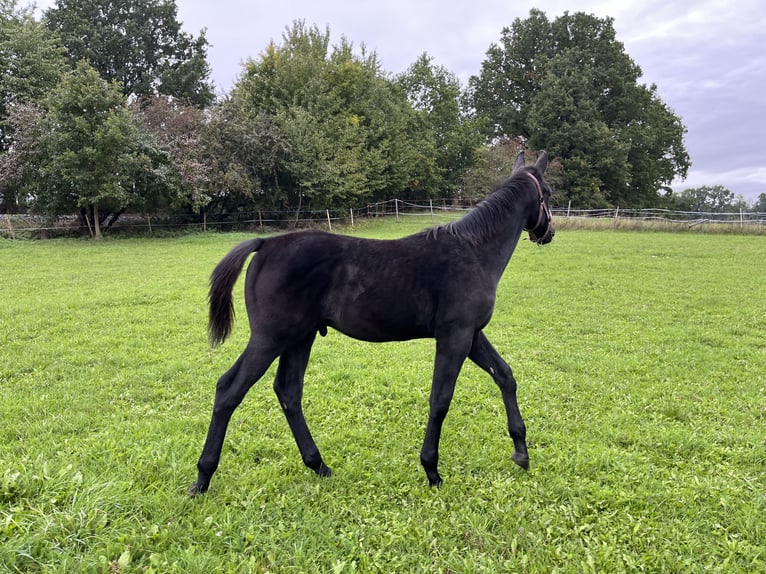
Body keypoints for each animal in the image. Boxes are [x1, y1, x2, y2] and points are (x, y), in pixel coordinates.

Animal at [188, 150, 555, 495]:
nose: (549, 232)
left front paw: (521, 452)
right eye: (548, 193)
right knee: (229, 390)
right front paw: (431, 470)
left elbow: (504, 375)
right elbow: (440, 400)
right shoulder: (455, 336)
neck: (472, 251)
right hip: (270, 338)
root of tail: (264, 244)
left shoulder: (472, 334)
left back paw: (318, 465)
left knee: (288, 391)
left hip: (300, 338)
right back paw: (203, 477)